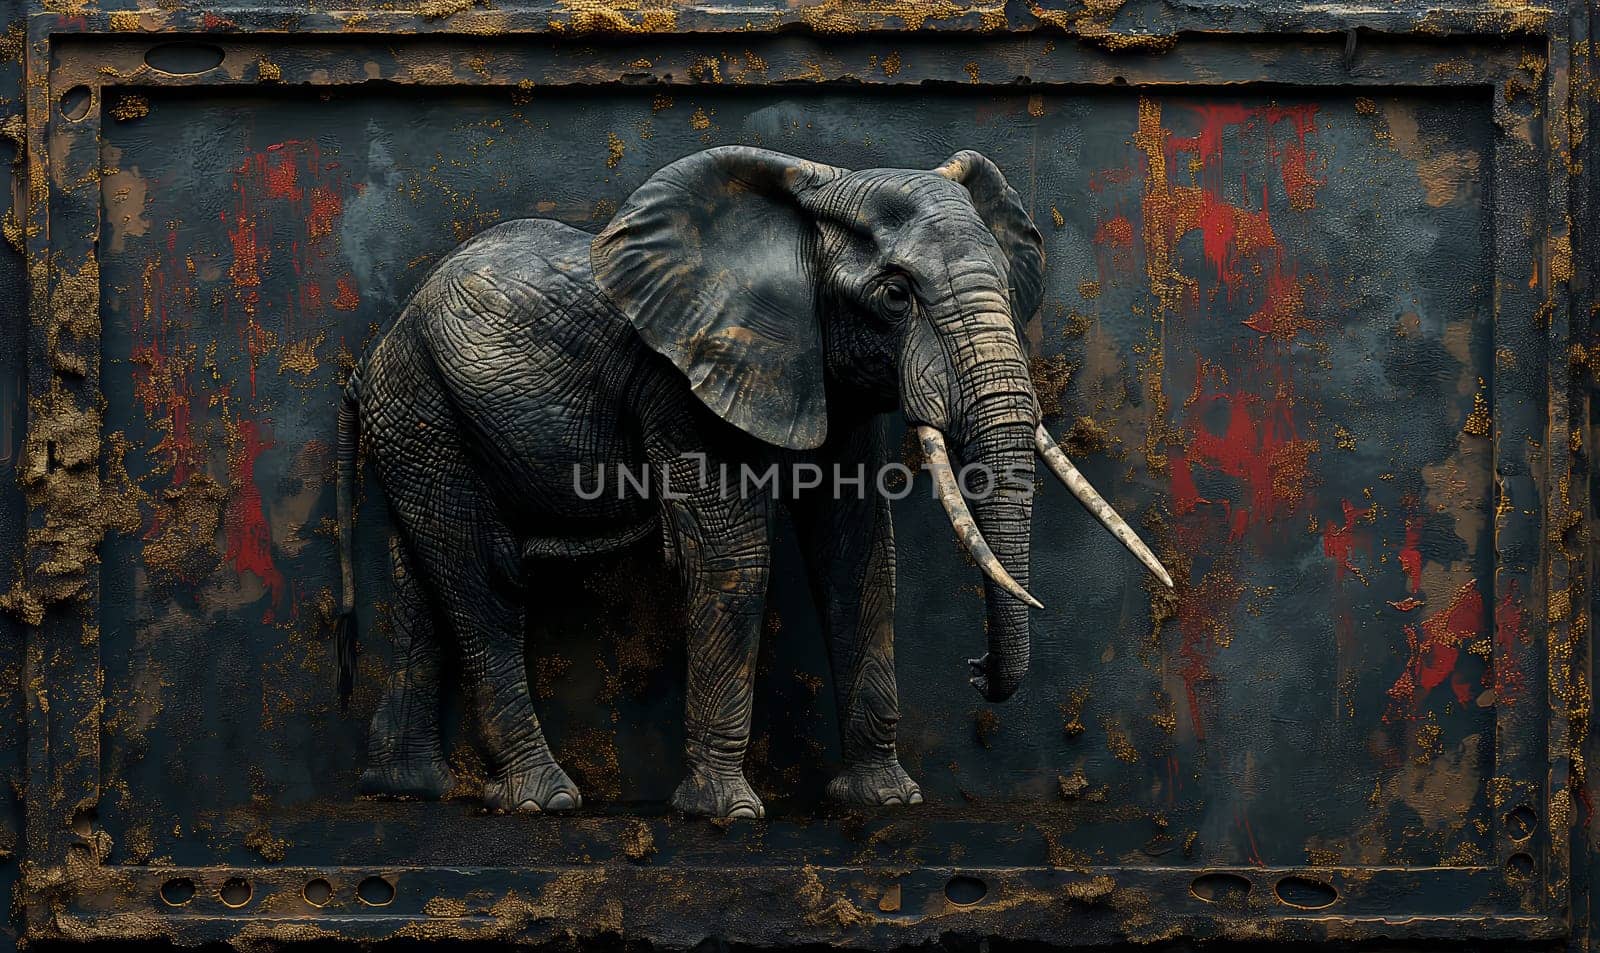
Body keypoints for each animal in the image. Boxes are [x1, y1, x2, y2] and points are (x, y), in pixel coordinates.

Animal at [331, 143, 1177, 818]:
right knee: (481, 580)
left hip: (413, 417)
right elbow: (732, 557)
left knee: (421, 584)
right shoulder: (680, 377)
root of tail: (372, 358)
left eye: (1005, 282)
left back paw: (408, 789)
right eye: (895, 295)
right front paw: (725, 816)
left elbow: (858, 549)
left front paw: (883, 802)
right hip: (421, 403)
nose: (975, 671)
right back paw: (545, 800)